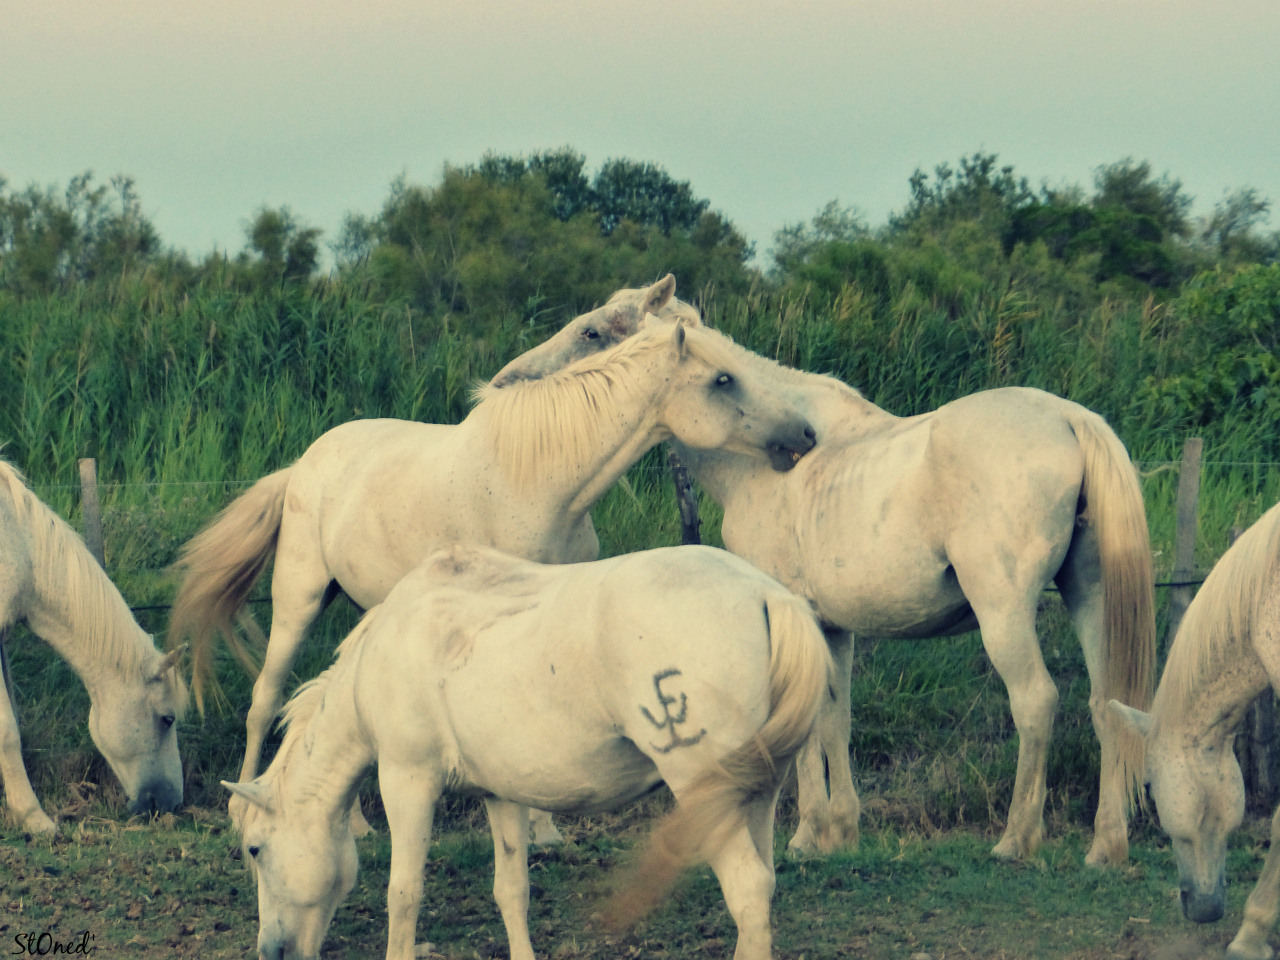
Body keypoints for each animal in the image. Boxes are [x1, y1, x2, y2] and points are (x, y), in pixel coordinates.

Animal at [226, 545, 834, 960]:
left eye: (256, 849)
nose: (270, 951)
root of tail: (768, 594)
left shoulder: (407, 781)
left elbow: (403, 893)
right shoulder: (501, 795)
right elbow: (511, 891)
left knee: (749, 891)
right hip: (758, 795)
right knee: (764, 884)